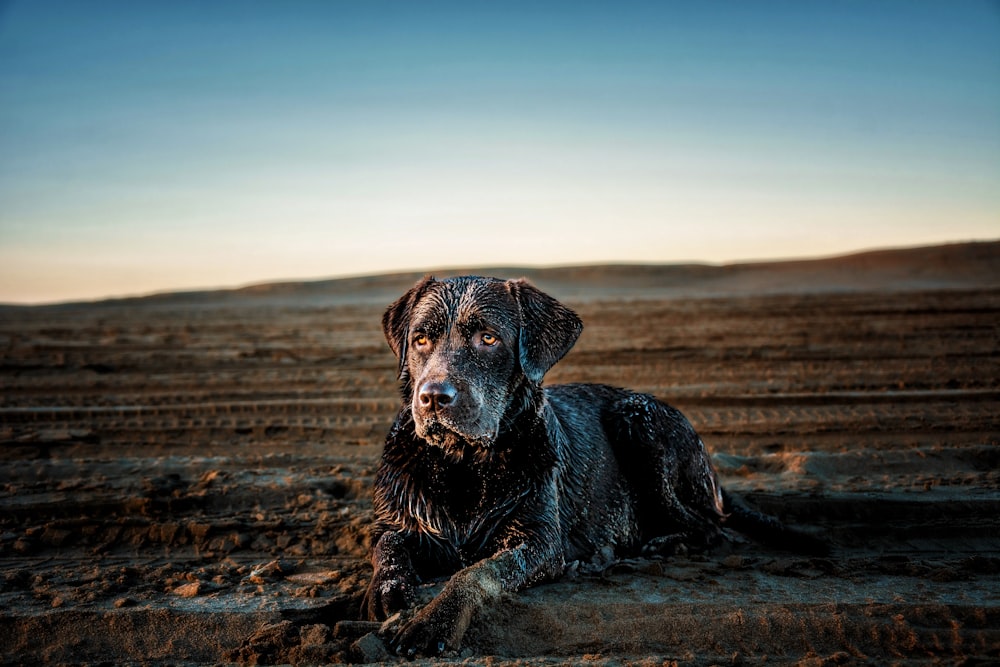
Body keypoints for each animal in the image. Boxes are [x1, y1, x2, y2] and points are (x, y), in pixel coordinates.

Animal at [360, 276, 820, 656]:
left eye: (488, 338)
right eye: (421, 340)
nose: (434, 397)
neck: (462, 467)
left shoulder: (540, 542)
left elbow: (476, 573)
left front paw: (432, 622)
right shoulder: (396, 519)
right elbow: (387, 543)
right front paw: (389, 589)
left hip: (638, 419)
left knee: (710, 526)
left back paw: (651, 546)